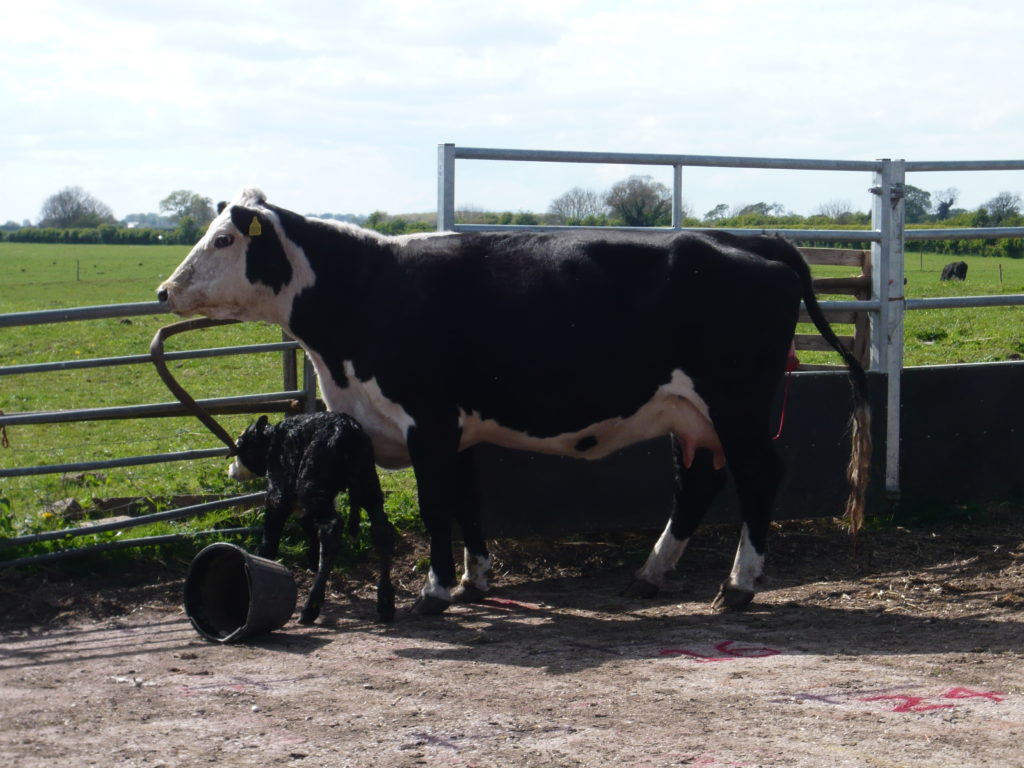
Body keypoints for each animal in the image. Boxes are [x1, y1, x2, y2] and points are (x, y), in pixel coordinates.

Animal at [231, 415, 395, 626]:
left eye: (240, 446)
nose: (231, 470)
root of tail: (346, 428)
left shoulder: (278, 495)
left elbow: (271, 536)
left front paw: (262, 560)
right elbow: (308, 528)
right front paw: (311, 560)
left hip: (311, 487)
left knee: (332, 528)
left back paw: (311, 606)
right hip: (367, 485)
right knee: (382, 530)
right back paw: (385, 603)